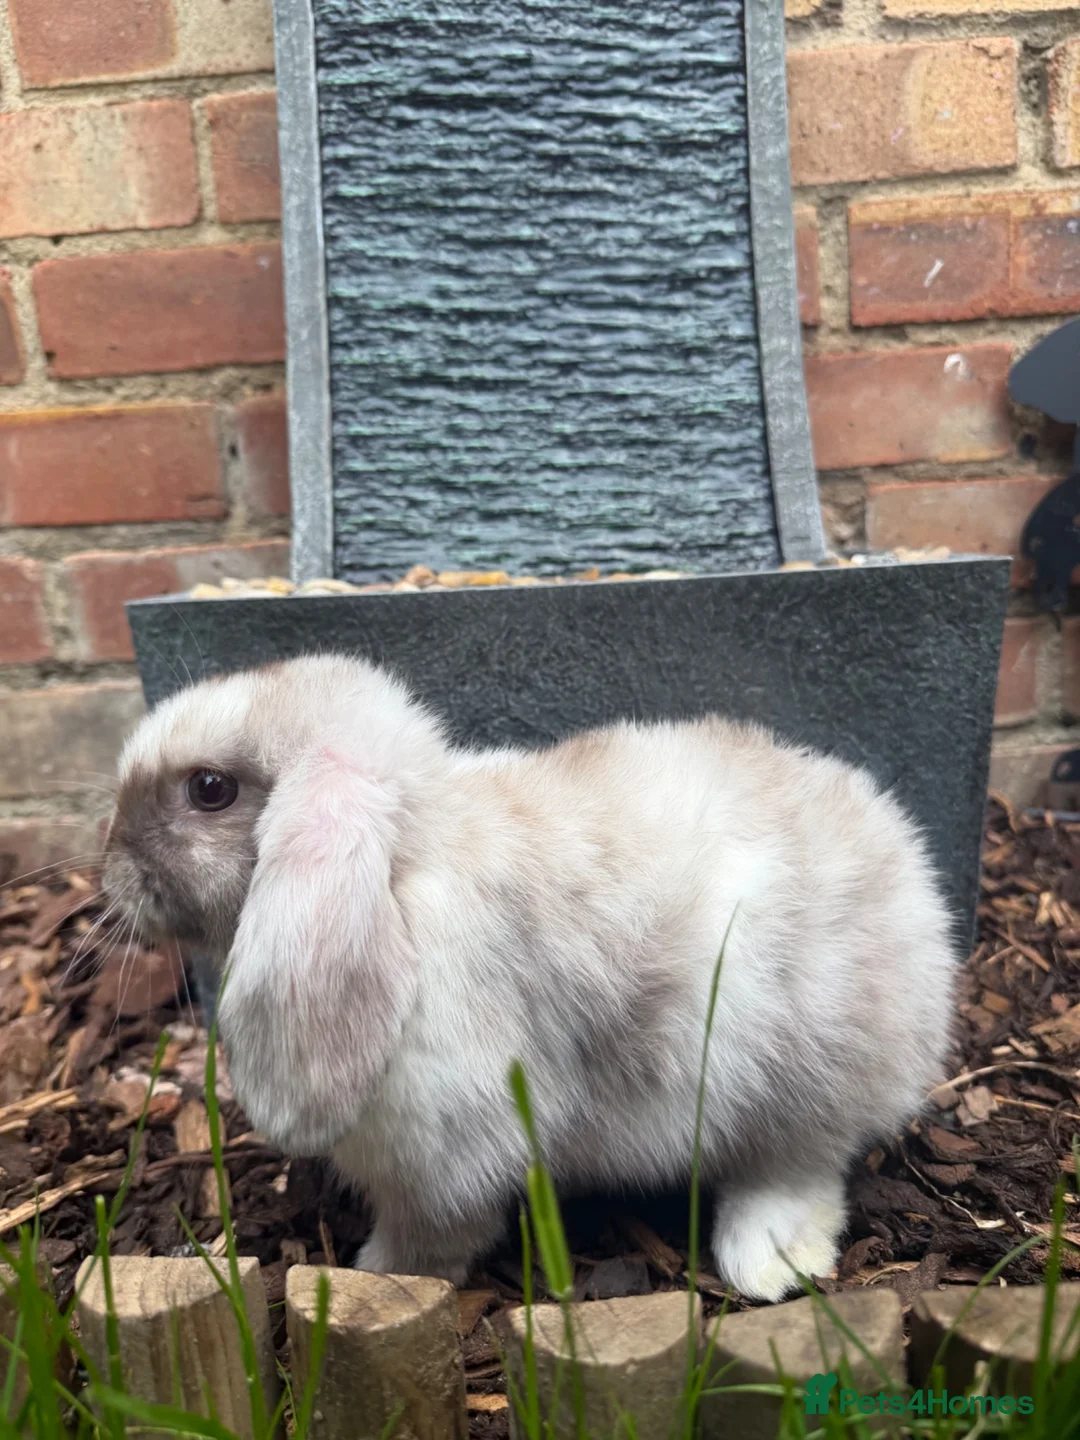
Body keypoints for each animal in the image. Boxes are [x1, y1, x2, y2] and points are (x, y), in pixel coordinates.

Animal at [102, 652, 956, 1302]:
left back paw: (768, 1264)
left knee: (801, 1167)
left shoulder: (442, 1150)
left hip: (803, 1076)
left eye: (210, 789)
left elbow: (436, 1233)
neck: (403, 865)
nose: (110, 865)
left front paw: (379, 1276)